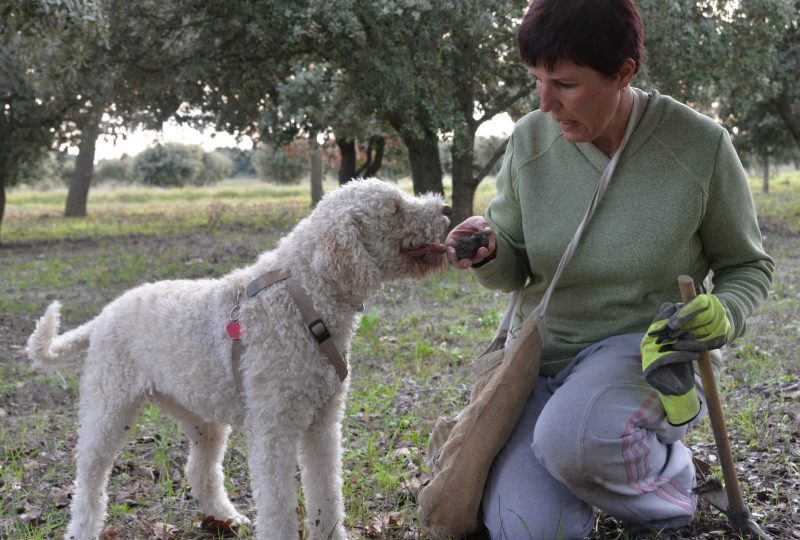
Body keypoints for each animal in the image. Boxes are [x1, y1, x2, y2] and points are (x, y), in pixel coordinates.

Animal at [28, 179, 454, 536]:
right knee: (89, 480)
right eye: (395, 208)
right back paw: (83, 528)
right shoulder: (274, 430)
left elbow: (327, 495)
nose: (446, 207)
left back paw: (226, 518)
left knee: (199, 470)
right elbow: (279, 507)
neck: (303, 297)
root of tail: (102, 317)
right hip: (109, 407)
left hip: (200, 414)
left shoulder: (322, 424)